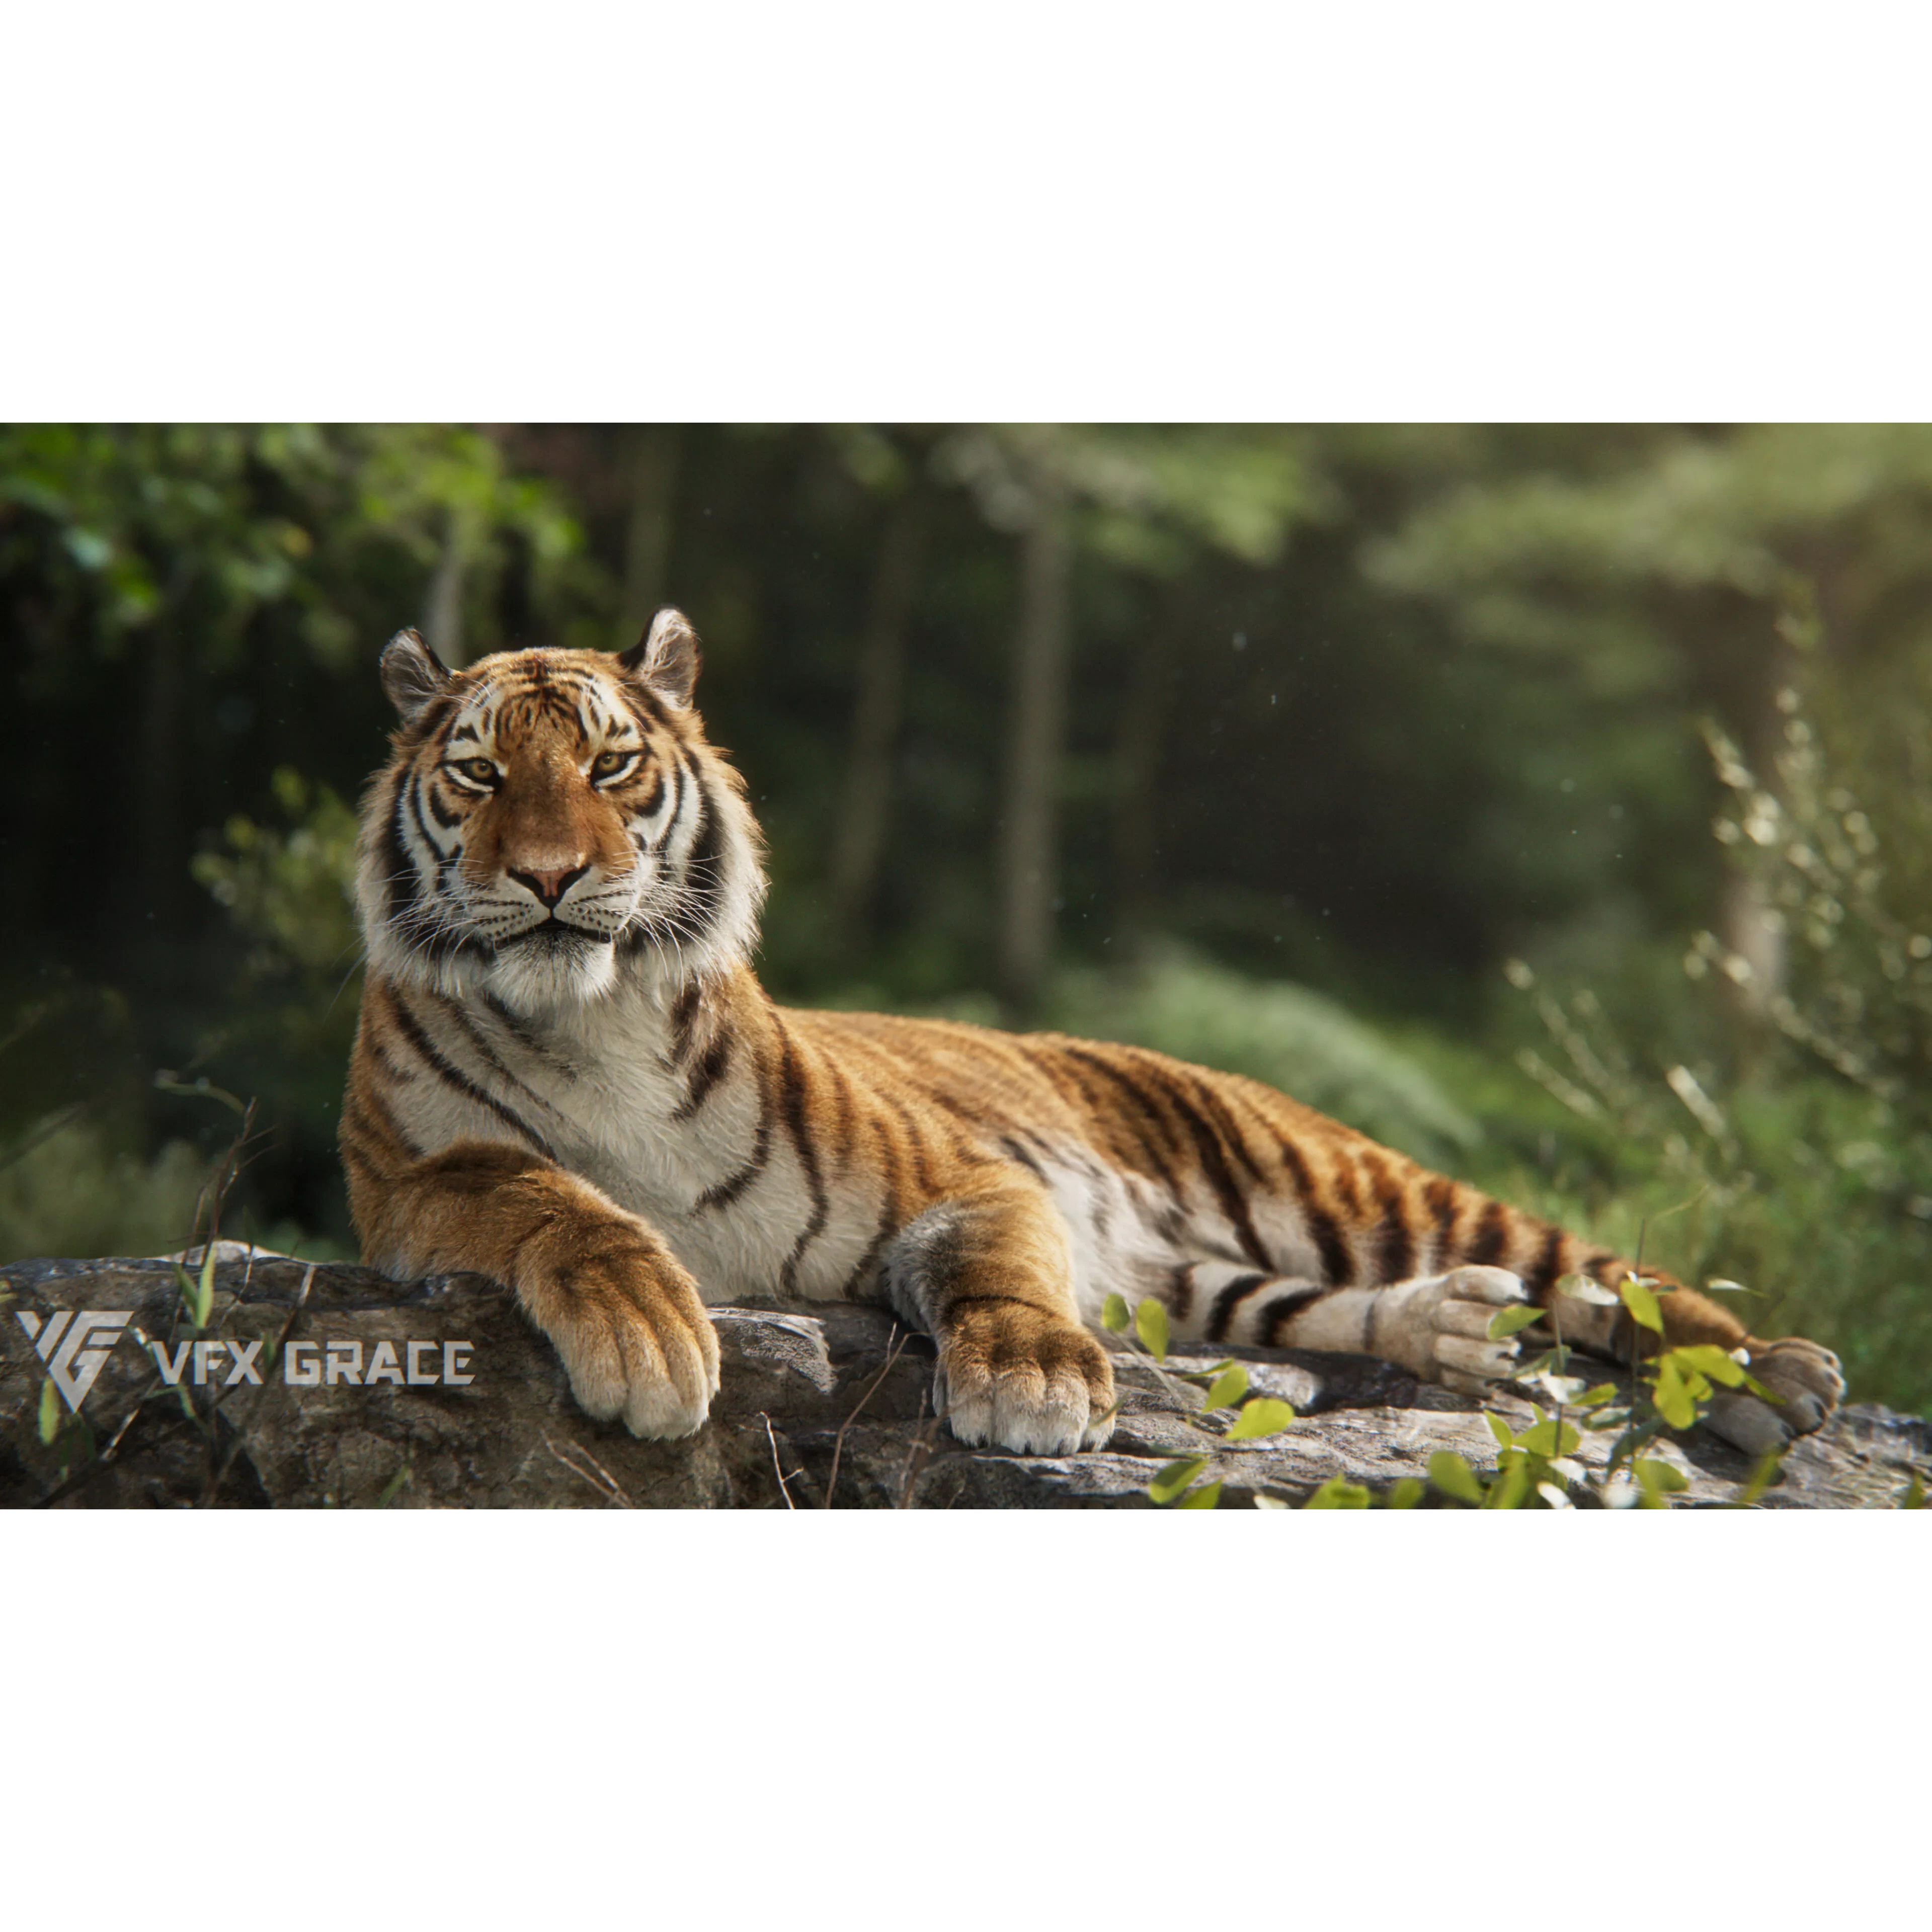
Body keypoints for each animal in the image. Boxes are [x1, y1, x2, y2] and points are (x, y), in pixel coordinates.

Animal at [340, 607, 1845, 1465]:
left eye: (609, 766)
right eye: (480, 772)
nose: (548, 875)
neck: (594, 1016)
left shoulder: (963, 1176)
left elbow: (998, 1271)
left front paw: (1036, 1379)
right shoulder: (407, 1184)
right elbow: (543, 1192)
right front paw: (648, 1332)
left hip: (1339, 1178)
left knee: (1588, 1262)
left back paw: (1767, 1375)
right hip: (1198, 1280)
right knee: (1331, 1308)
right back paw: (1460, 1331)